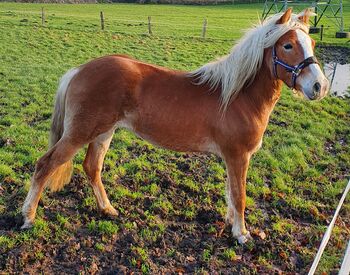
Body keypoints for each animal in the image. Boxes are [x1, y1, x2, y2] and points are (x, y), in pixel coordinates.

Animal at [21, 8, 328, 245]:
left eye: (312, 43)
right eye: (287, 45)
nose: (319, 86)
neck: (237, 95)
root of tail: (79, 70)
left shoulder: (233, 158)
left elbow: (231, 193)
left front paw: (231, 223)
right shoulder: (238, 156)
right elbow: (239, 195)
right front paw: (241, 234)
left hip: (103, 132)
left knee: (92, 168)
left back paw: (107, 209)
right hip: (80, 133)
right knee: (45, 164)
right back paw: (28, 216)